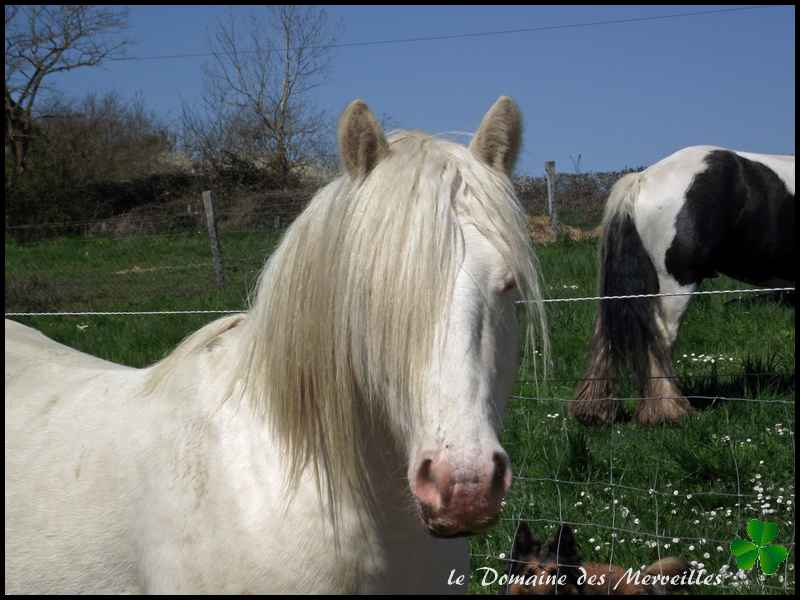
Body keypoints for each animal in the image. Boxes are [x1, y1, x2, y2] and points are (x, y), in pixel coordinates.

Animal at [572, 146, 792, 424]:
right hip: (677, 285)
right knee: (662, 340)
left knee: (604, 335)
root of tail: (642, 179)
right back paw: (667, 411)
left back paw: (594, 410)